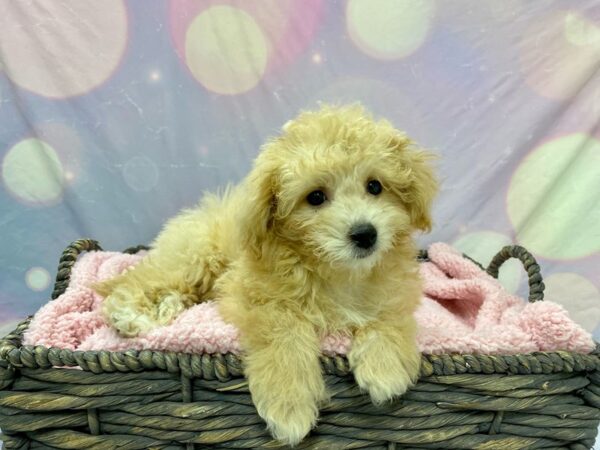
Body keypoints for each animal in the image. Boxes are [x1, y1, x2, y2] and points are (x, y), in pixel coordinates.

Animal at [96, 105, 438, 446]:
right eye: (315, 197)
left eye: (375, 186)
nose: (366, 234)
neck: (336, 271)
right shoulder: (248, 292)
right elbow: (282, 329)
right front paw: (290, 405)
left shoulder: (396, 287)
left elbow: (387, 314)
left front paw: (385, 367)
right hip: (193, 258)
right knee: (137, 281)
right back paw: (131, 315)